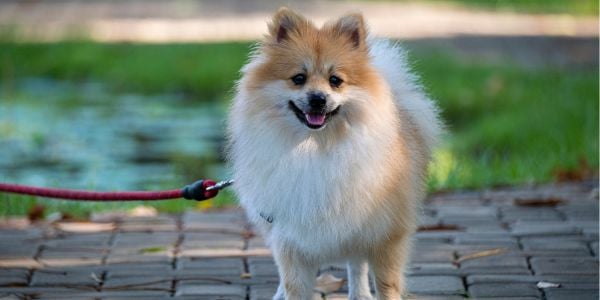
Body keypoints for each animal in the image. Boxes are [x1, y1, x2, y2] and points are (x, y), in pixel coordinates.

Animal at [227, 7, 442, 300]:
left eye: (335, 81)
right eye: (298, 79)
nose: (318, 98)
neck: (315, 147)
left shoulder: (386, 234)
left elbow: (385, 284)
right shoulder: (290, 238)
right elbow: (293, 284)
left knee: (356, 263)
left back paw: (360, 294)